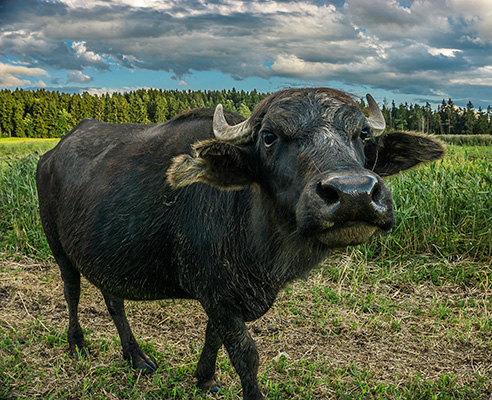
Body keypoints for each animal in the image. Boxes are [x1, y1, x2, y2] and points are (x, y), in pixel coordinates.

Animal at [36, 89, 444, 398]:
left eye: (363, 135)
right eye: (269, 137)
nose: (353, 194)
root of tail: (51, 154)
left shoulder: (223, 296)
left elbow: (214, 337)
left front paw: (205, 378)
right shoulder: (216, 293)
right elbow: (245, 354)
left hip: (106, 253)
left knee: (114, 301)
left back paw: (136, 357)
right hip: (58, 246)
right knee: (72, 291)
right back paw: (77, 344)